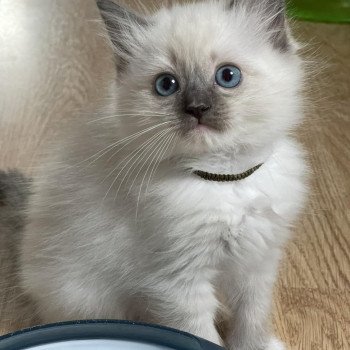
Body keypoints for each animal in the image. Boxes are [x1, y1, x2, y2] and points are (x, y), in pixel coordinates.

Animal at [20, 0, 308, 350]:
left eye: (228, 76)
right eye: (166, 85)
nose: (197, 108)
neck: (223, 180)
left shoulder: (257, 262)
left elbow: (252, 318)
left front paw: (255, 346)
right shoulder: (178, 283)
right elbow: (201, 334)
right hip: (89, 298)